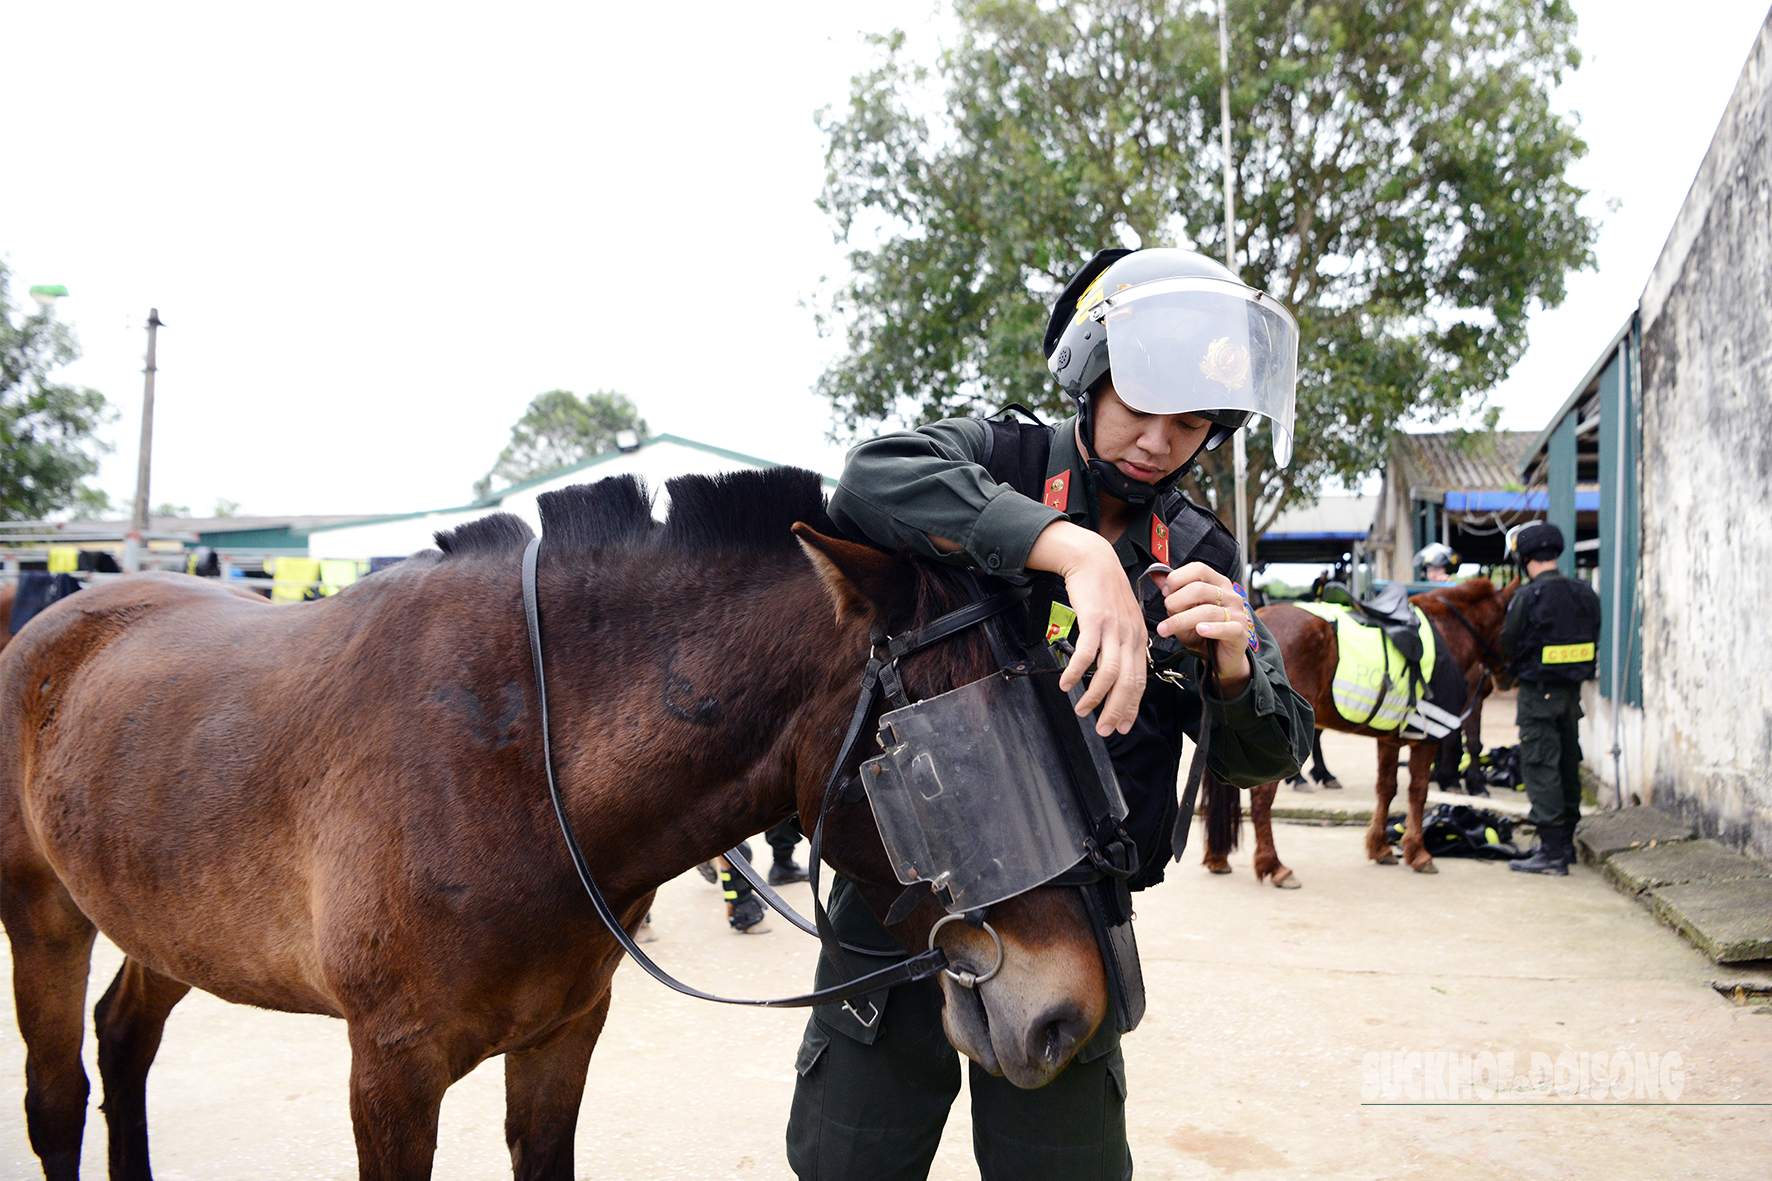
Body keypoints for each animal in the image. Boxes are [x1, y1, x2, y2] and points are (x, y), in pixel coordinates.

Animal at [0, 468, 1105, 1177]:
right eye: (933, 765)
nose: (1067, 1011)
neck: (511, 757)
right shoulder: (390, 1071)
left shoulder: (561, 1037)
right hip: (46, 919)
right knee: (57, 1099)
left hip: (169, 924)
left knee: (124, 1042)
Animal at [1204, 574, 1509, 879]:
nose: (1504, 680)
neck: (1447, 632)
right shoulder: (1427, 739)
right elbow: (1418, 792)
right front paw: (1418, 852)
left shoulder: (1389, 740)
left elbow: (1387, 788)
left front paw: (1381, 848)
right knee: (1262, 796)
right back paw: (1274, 865)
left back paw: (1219, 857)